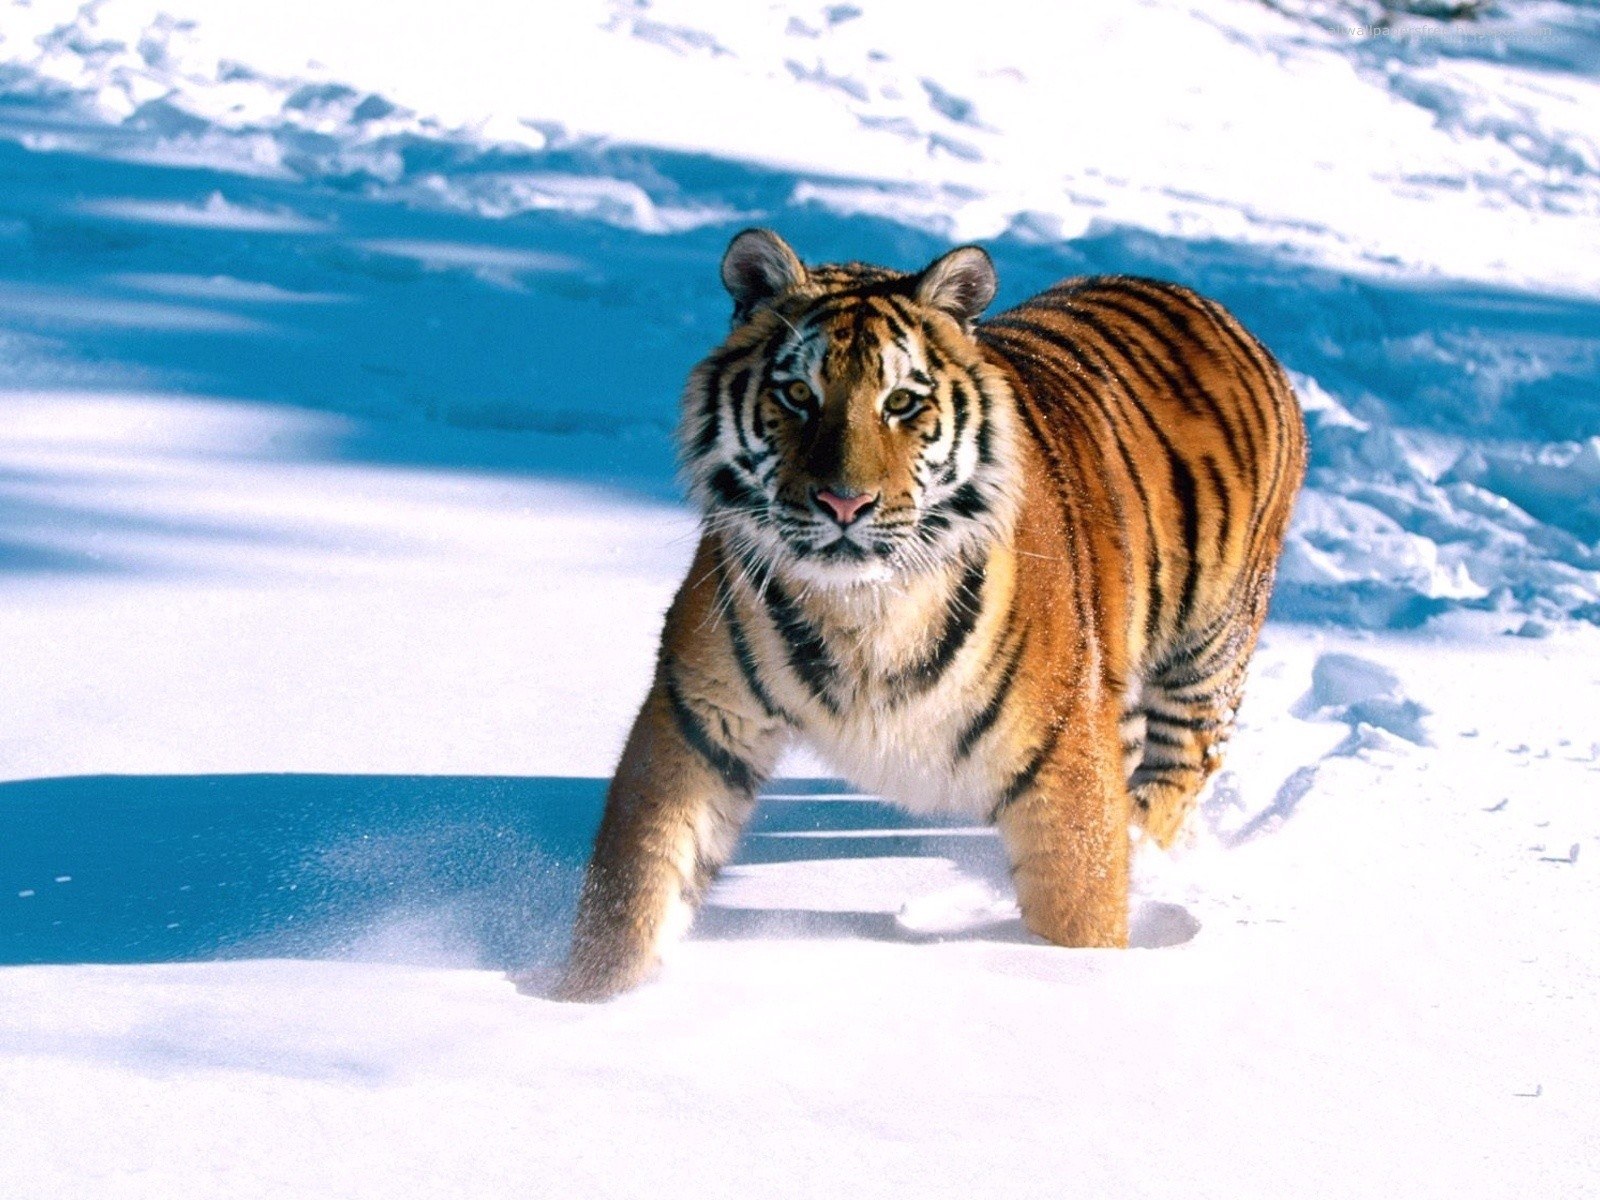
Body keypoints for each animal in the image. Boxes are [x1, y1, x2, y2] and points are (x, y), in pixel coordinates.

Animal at [553, 228, 1306, 1001]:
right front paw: (581, 998)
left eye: (902, 402)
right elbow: (638, 884)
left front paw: (1077, 977)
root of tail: (1206, 303)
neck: (861, 608)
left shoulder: (1062, 758)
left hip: (1205, 658)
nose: (845, 503)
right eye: (797, 394)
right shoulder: (699, 715)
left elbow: (1080, 907)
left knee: (1174, 776)